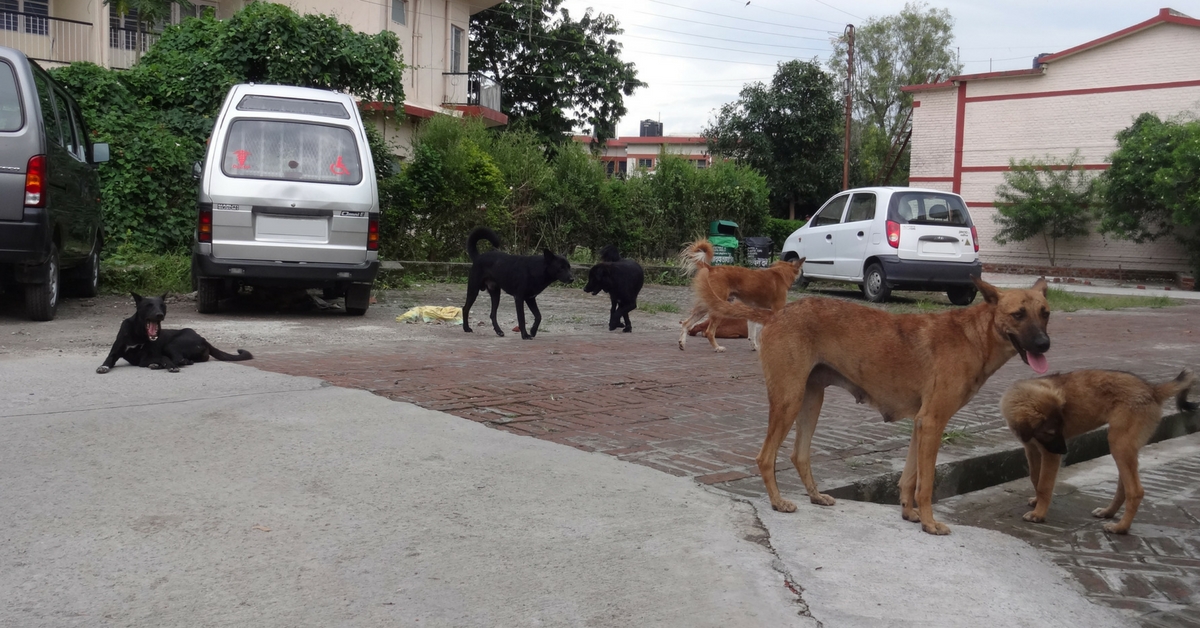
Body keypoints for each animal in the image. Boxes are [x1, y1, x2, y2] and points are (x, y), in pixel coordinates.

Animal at [97, 294, 255, 374]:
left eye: (162, 306)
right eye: (148, 305)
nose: (159, 315)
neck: (138, 333)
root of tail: (203, 339)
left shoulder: (147, 356)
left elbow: (163, 358)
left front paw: (166, 364)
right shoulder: (115, 352)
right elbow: (108, 360)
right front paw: (103, 367)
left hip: (172, 344)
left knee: (181, 360)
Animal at [676, 240, 806, 350]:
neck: (780, 273)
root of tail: (711, 268)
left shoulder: (754, 311)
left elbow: (752, 335)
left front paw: (755, 347)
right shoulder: (777, 310)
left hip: (704, 306)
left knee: (686, 324)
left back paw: (682, 343)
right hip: (718, 308)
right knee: (709, 332)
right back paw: (717, 348)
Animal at [700, 276, 1051, 535]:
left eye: (1045, 313)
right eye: (1018, 314)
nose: (1044, 344)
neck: (974, 335)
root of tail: (776, 313)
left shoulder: (921, 425)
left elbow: (909, 477)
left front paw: (909, 513)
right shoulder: (933, 423)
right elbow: (926, 483)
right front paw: (929, 522)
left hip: (810, 401)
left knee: (798, 455)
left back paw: (815, 496)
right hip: (789, 400)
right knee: (765, 457)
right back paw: (777, 502)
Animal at [1003, 369, 1190, 535]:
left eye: (1060, 428)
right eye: (1050, 432)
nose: (1065, 450)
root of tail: (1153, 390)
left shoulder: (1050, 454)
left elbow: (1044, 484)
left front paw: (1039, 514)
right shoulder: (1032, 449)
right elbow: (1035, 478)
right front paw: (1037, 502)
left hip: (1119, 444)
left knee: (1135, 491)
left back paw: (1120, 528)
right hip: (1125, 447)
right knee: (1124, 487)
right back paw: (1108, 513)